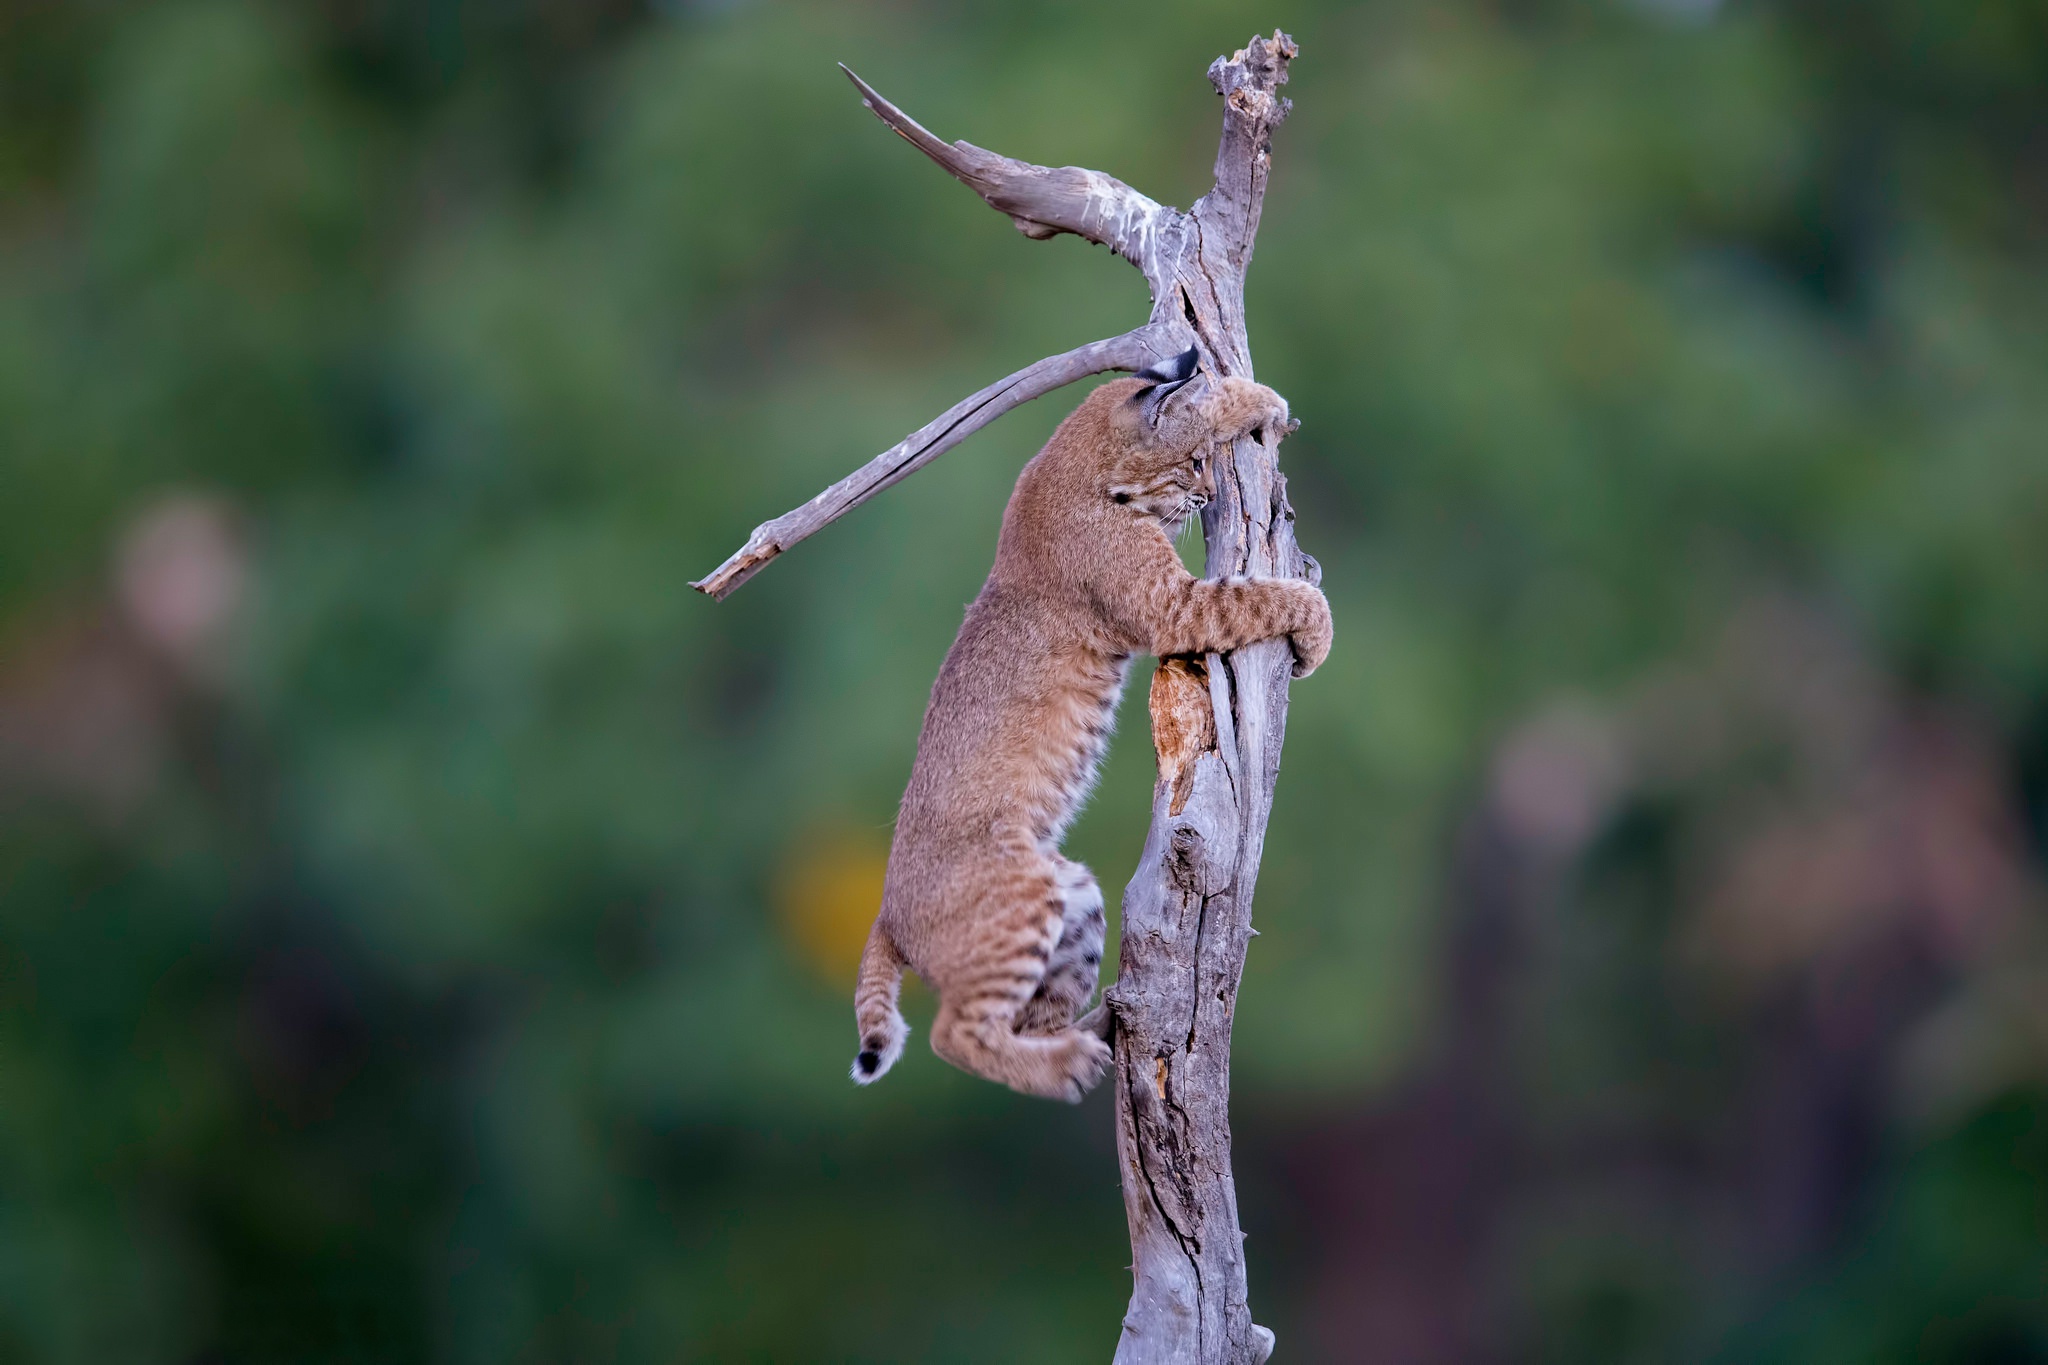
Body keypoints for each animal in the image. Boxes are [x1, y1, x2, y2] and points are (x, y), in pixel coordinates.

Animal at [843, 351, 1327, 1096]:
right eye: (1192, 464)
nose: (1210, 490)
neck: (1077, 468)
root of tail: (884, 912)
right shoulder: (1173, 608)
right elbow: (1263, 594)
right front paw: (1318, 630)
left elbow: (1128, 387)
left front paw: (1252, 399)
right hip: (1021, 904)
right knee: (954, 1035)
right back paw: (1066, 1063)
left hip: (1074, 898)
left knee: (1030, 1017)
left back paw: (1099, 1030)